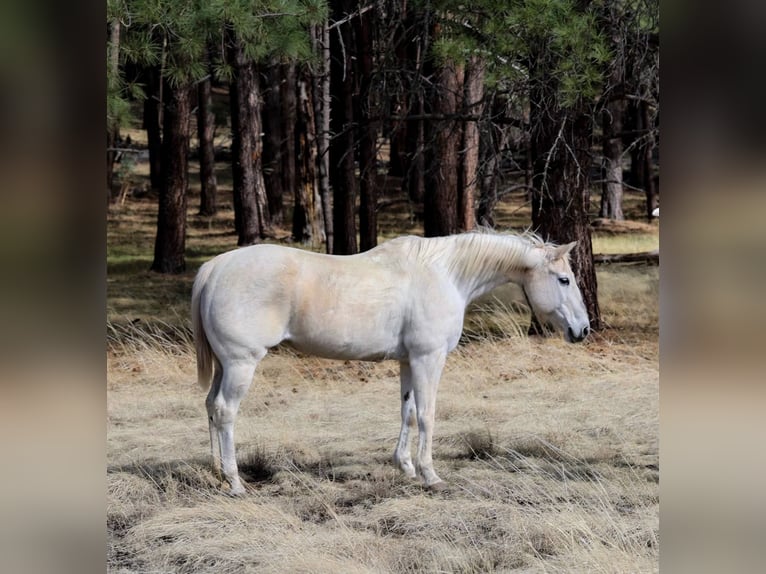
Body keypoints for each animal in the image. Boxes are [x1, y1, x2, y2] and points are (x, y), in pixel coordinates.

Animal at [191, 230, 590, 495]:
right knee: (225, 411)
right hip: (241, 364)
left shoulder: (408, 361)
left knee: (210, 406)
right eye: (564, 279)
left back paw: (216, 470)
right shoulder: (429, 358)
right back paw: (235, 481)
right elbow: (427, 415)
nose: (583, 329)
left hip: (225, 366)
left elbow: (408, 412)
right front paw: (429, 474)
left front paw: (406, 467)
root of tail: (215, 267)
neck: (446, 275)